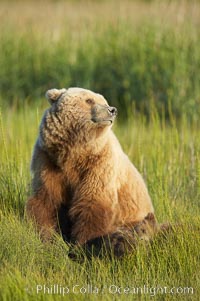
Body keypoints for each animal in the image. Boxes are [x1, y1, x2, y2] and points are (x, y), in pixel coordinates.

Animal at [26, 86, 155, 248]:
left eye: (104, 101)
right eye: (89, 100)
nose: (112, 110)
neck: (74, 152)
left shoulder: (99, 163)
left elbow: (92, 202)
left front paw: (83, 243)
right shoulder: (48, 160)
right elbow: (47, 199)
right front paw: (46, 236)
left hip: (134, 220)